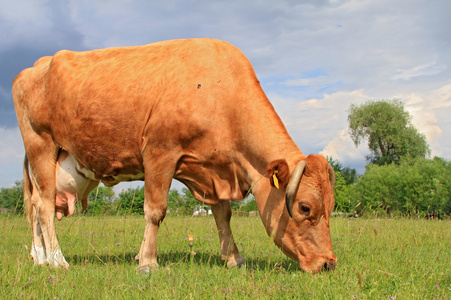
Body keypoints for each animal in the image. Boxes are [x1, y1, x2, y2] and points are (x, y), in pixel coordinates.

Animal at [12, 38, 338, 274]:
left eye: (331, 206)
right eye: (305, 207)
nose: (328, 263)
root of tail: (36, 65)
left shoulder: (212, 169)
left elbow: (223, 214)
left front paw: (234, 258)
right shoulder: (160, 152)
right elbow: (155, 211)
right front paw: (148, 263)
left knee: (36, 205)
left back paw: (39, 257)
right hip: (40, 144)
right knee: (43, 206)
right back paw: (57, 260)